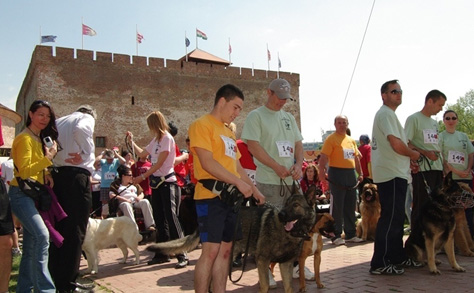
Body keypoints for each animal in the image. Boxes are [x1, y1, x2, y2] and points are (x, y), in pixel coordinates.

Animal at [145, 188, 314, 290]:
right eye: (286, 204)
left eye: (296, 205)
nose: (281, 214)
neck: (288, 234)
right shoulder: (262, 261)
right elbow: (265, 285)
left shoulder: (286, 264)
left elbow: (288, 288)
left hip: (227, 257)